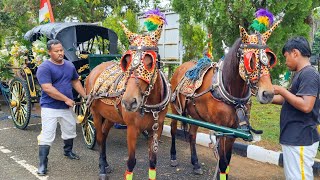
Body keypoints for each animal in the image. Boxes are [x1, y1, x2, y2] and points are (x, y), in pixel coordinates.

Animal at [84, 19, 170, 179]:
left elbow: (153, 162)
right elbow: (130, 162)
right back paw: (102, 168)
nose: (129, 102)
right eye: (126, 60)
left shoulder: (157, 128)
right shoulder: (131, 129)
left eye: (151, 61)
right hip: (96, 113)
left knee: (104, 135)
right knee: (99, 138)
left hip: (110, 116)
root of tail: (94, 70)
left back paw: (105, 163)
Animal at [169, 20, 282, 179]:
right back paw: (173, 157)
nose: (268, 94)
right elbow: (222, 162)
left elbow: (227, 161)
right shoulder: (221, 130)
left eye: (270, 58)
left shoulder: (232, 131)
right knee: (173, 130)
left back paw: (196, 163)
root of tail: (181, 67)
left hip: (196, 115)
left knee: (192, 135)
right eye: (250, 60)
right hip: (175, 109)